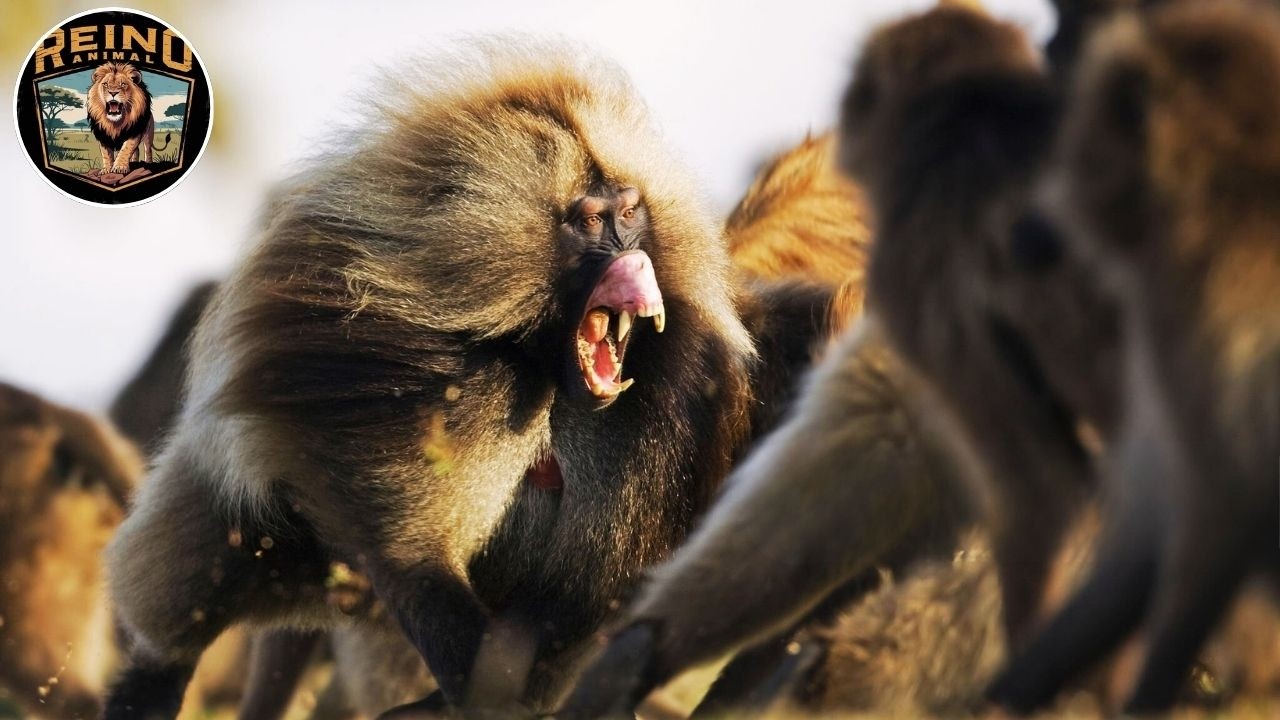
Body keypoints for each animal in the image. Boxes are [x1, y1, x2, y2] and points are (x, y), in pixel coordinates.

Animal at [101, 42, 858, 720]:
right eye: (591, 221)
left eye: (630, 213)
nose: (634, 256)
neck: (546, 370)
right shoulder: (423, 384)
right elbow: (409, 550)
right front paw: (478, 689)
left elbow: (579, 604)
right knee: (198, 585)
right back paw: (152, 685)